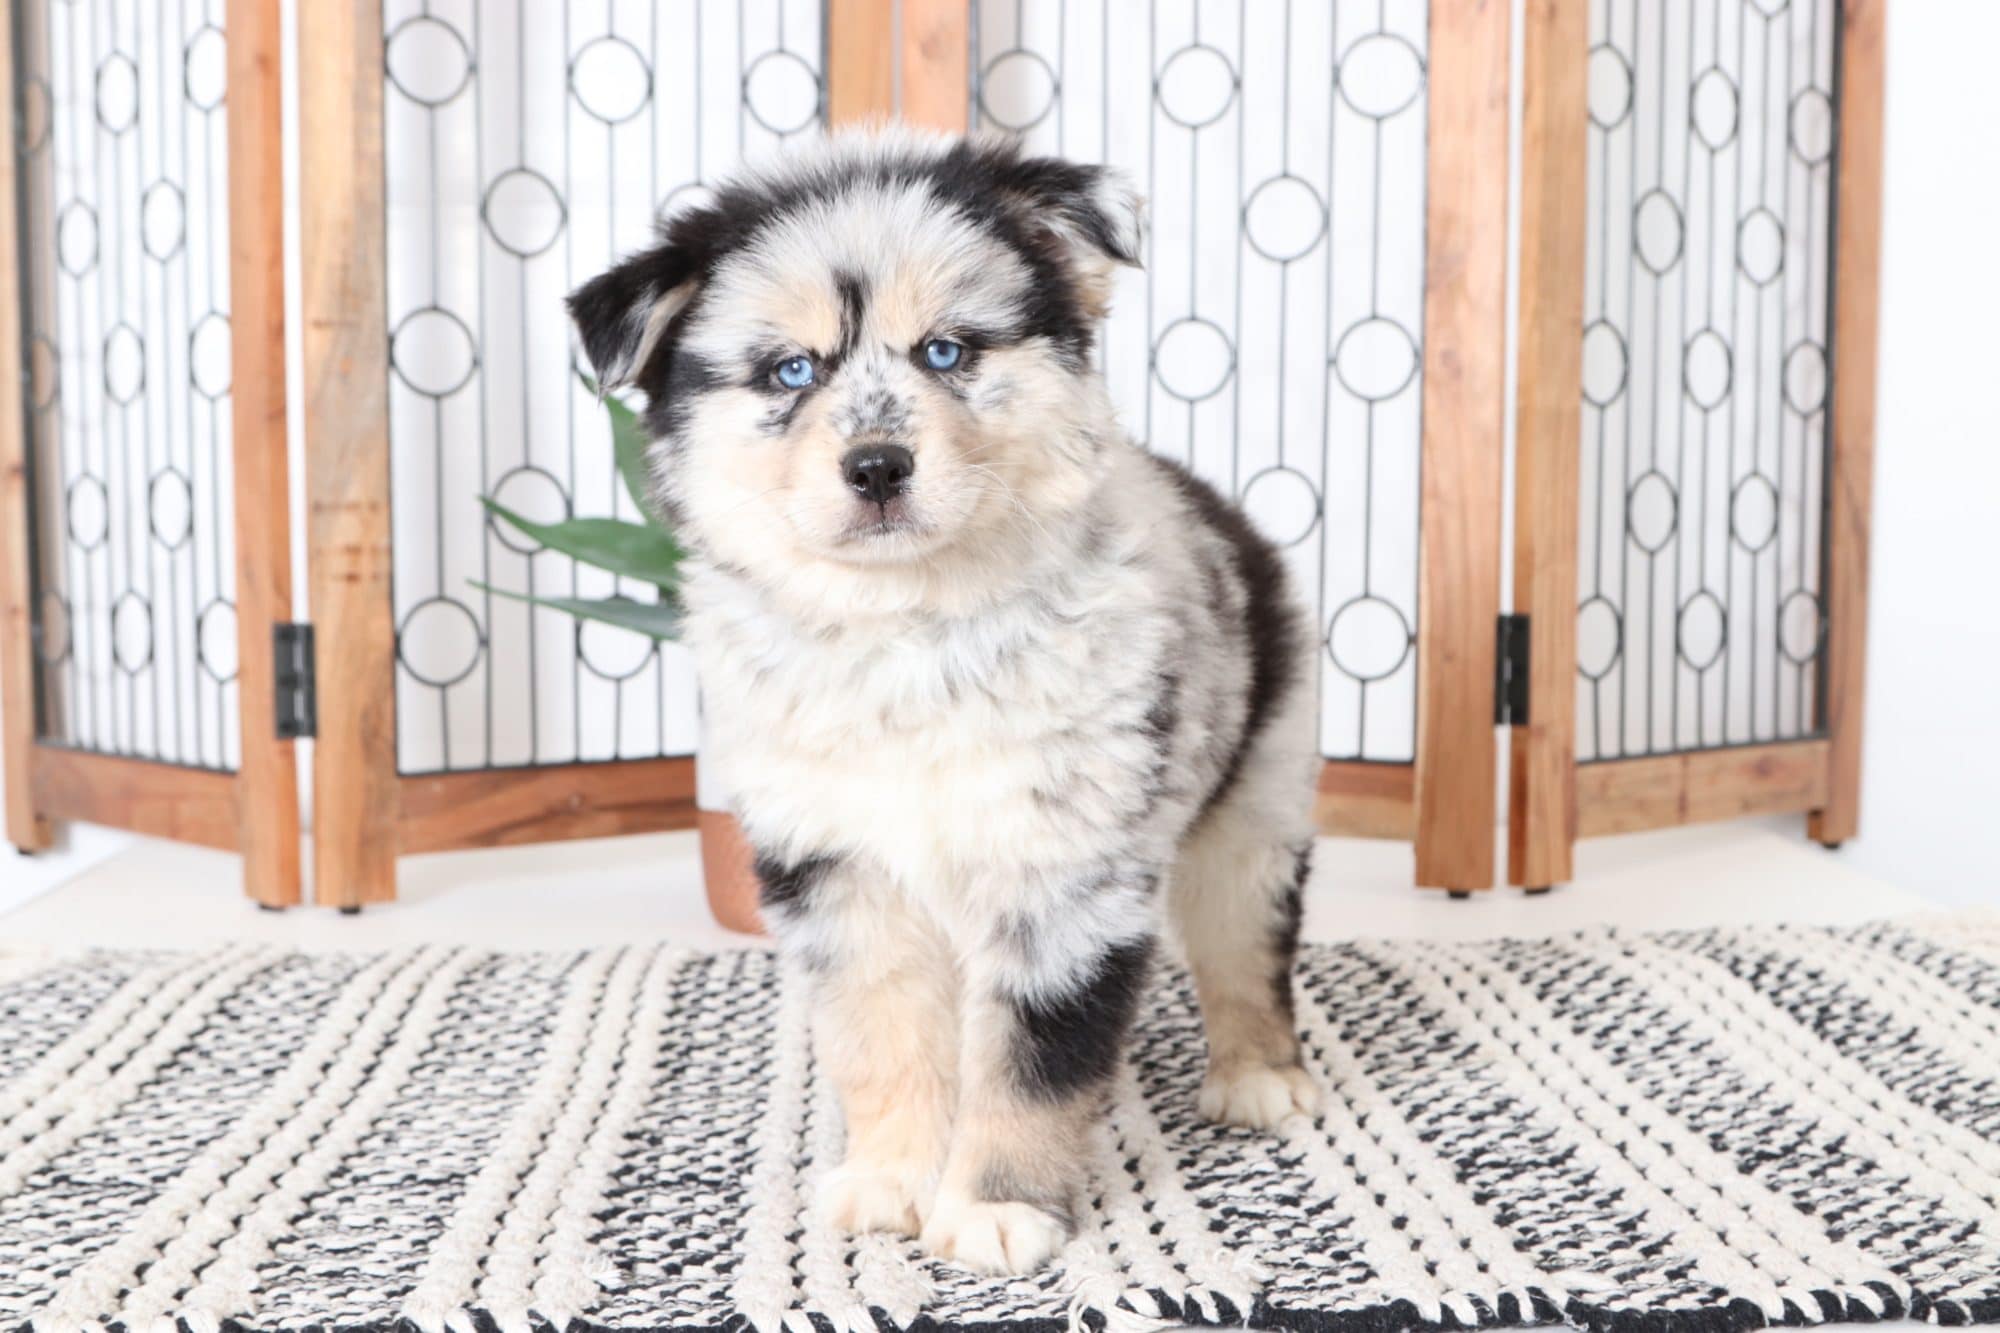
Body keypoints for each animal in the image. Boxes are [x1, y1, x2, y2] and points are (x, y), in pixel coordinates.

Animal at [569, 129, 1320, 1276]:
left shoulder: (1059, 871)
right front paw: (892, 1181)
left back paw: (1257, 1076)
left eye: (946, 352)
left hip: (1261, 786)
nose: (877, 466)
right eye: (791, 371)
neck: (910, 626)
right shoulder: (841, 868)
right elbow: (883, 1039)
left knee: (1247, 940)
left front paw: (1000, 1206)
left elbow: (1030, 1057)